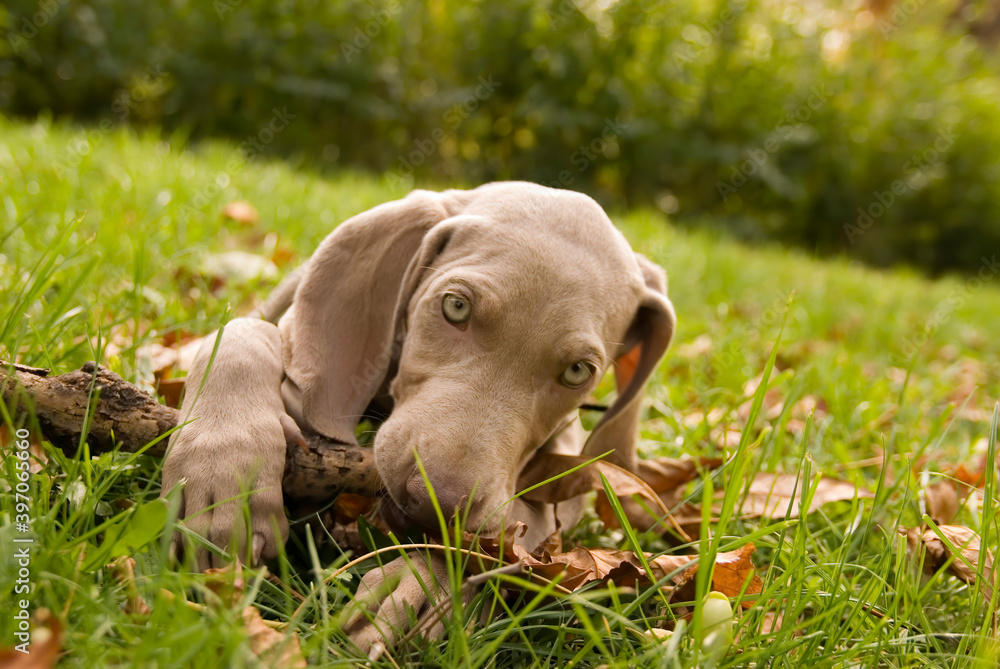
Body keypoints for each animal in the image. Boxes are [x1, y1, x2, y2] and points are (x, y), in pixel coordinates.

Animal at [164, 180, 676, 648]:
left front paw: (426, 584)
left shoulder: (561, 490)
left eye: (577, 372)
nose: (436, 503)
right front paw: (226, 474)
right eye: (456, 306)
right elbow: (240, 332)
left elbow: (514, 532)